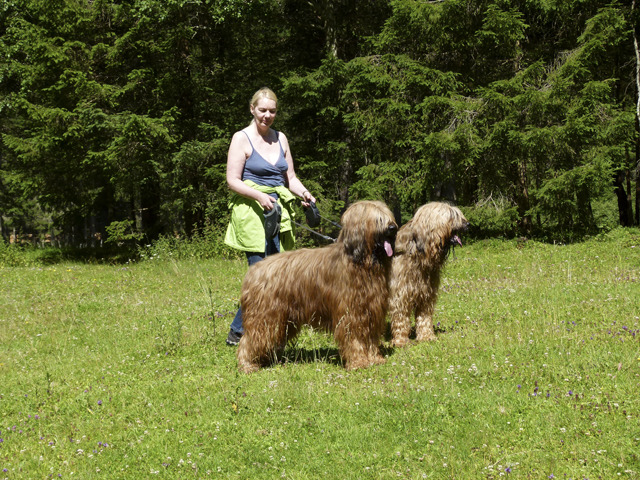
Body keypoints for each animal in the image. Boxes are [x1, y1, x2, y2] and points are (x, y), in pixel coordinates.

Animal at [238, 201, 398, 374]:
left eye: (388, 215)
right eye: (378, 219)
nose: (393, 228)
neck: (362, 263)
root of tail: (253, 271)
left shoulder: (372, 311)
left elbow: (371, 337)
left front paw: (375, 359)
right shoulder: (351, 314)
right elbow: (354, 338)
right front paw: (359, 362)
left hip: (283, 319)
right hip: (264, 317)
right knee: (250, 340)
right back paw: (247, 365)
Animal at [388, 201, 468, 346]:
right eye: (452, 215)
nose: (468, 224)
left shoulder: (426, 293)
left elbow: (424, 317)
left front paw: (426, 336)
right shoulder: (399, 295)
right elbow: (400, 318)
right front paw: (401, 341)